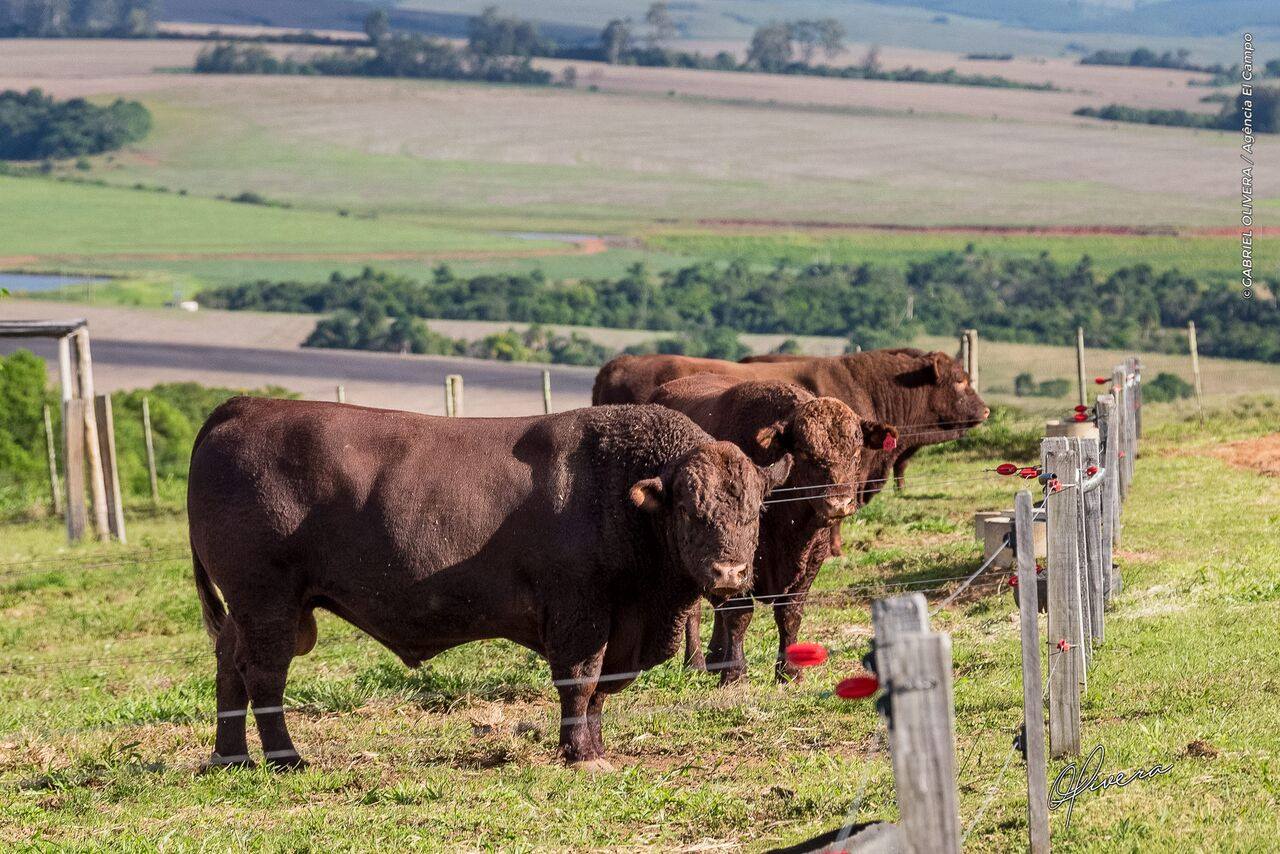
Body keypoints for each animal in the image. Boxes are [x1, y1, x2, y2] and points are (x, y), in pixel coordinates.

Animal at [186, 396, 788, 773]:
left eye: (757, 509)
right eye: (688, 508)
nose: (729, 574)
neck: (616, 488)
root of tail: (243, 406)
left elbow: (596, 692)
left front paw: (592, 748)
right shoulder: (581, 615)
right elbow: (581, 681)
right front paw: (581, 755)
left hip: (250, 613)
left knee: (230, 668)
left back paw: (230, 757)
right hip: (267, 605)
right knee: (263, 677)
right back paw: (287, 760)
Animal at [650, 376, 890, 686]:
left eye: (856, 451)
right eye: (804, 451)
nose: (839, 502)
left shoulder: (811, 560)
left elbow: (789, 613)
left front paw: (789, 671)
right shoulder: (737, 558)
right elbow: (739, 614)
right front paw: (735, 674)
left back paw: (716, 656)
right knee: (695, 611)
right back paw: (696, 663)